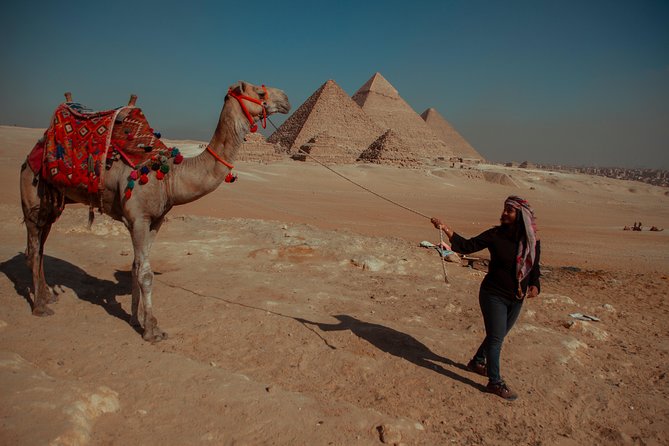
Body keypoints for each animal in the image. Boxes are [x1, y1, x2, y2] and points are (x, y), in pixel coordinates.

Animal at [19, 81, 290, 342]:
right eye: (259, 92)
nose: (286, 99)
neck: (170, 176)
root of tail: (33, 152)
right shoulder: (138, 218)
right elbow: (146, 273)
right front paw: (152, 330)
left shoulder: (156, 220)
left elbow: (136, 267)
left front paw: (135, 319)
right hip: (32, 195)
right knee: (33, 247)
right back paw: (40, 306)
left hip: (53, 204)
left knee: (41, 246)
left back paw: (47, 295)